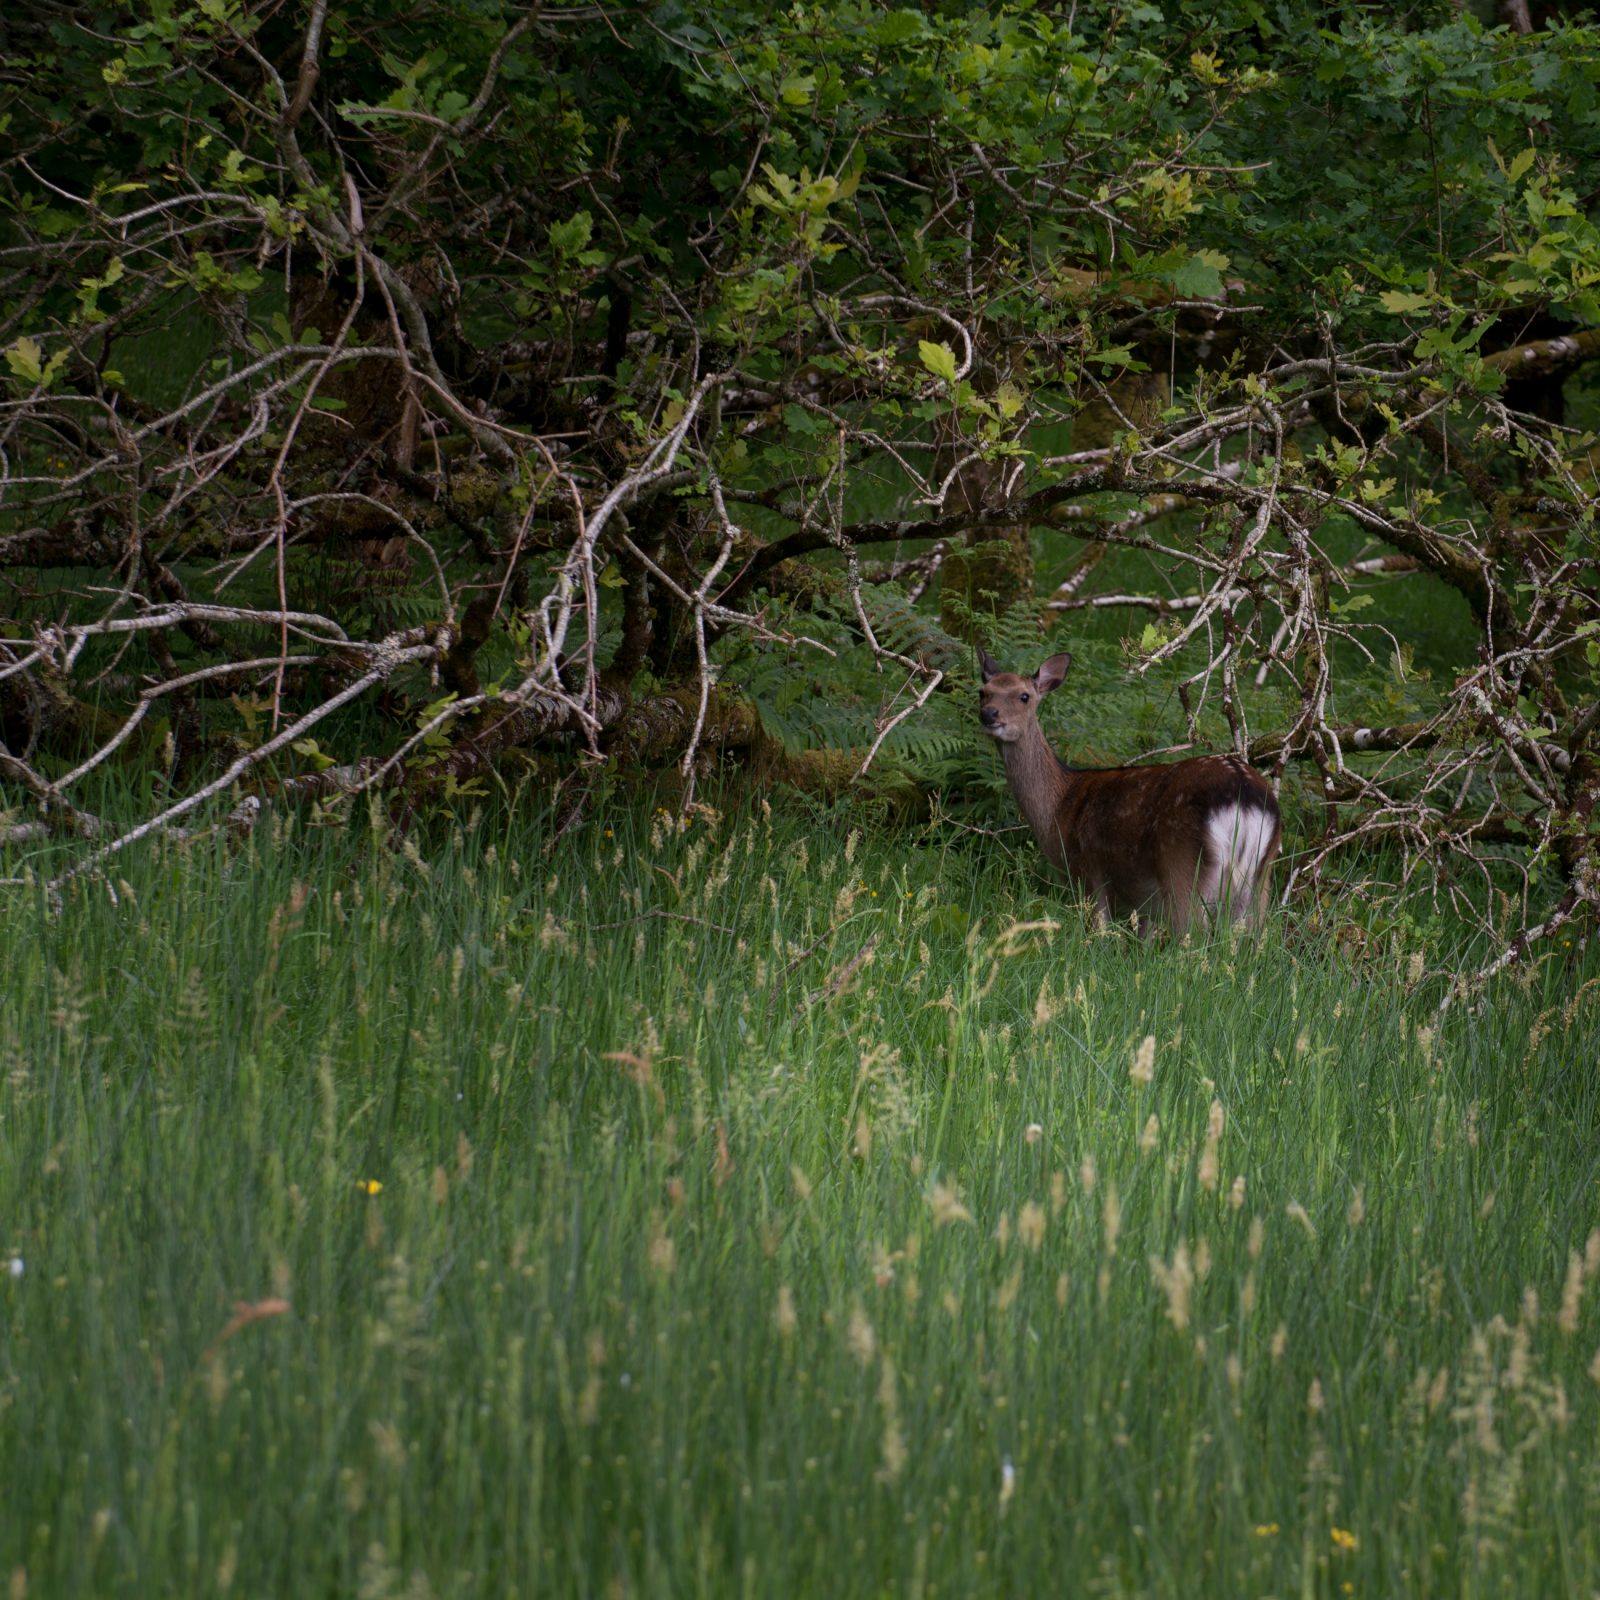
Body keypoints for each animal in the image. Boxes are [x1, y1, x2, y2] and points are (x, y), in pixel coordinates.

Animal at [978, 649, 1281, 934]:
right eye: (983, 692)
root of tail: (1244, 796)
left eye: (1024, 696)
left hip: (1184, 865)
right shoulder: (1144, 903)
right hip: (1261, 877)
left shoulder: (1088, 873)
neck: (1060, 806)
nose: (988, 714)